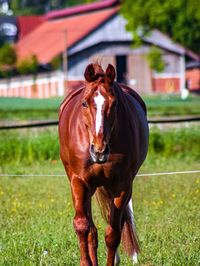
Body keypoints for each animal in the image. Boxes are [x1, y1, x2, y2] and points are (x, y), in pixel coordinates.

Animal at [58, 63, 148, 264]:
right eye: (84, 103)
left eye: (114, 104)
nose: (99, 150)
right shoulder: (79, 181)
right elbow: (82, 226)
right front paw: (86, 263)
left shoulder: (122, 186)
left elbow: (113, 234)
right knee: (91, 230)